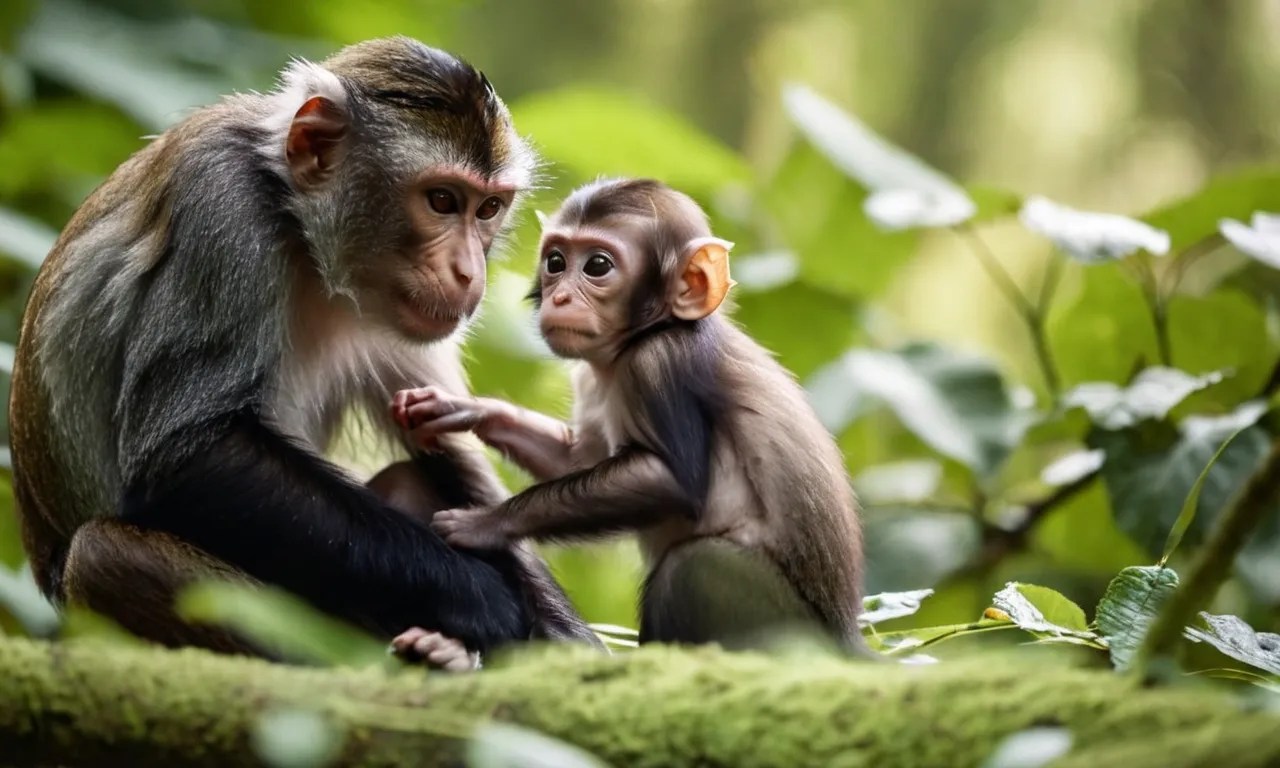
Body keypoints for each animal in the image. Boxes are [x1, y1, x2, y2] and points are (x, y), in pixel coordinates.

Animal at [7, 36, 602, 659]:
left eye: (487, 209)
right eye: (442, 200)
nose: (468, 270)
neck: (305, 237)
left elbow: (453, 456)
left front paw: (565, 642)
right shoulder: (222, 206)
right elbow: (183, 456)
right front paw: (484, 602)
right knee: (101, 556)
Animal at [395, 178, 868, 653]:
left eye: (598, 266)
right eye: (555, 262)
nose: (559, 297)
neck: (646, 334)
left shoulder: (658, 362)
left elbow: (670, 481)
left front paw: (488, 523)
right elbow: (575, 460)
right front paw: (463, 409)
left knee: (692, 568)